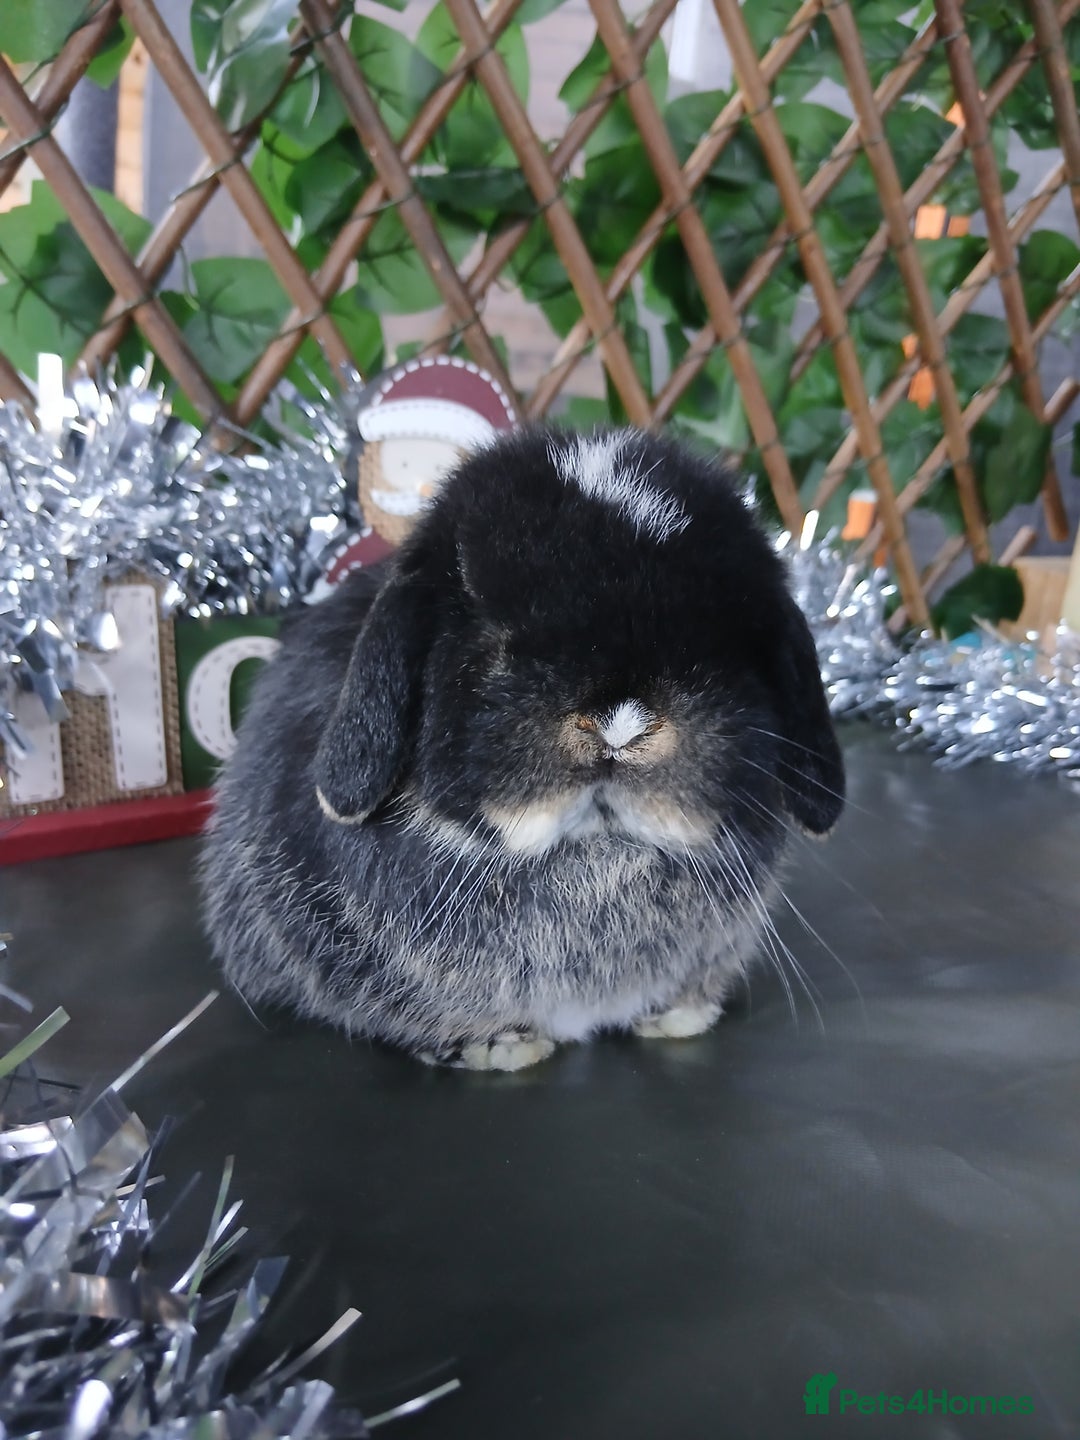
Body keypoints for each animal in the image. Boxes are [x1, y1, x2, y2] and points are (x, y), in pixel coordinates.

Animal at [201, 426, 844, 1070]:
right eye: (492, 636)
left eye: (727, 642)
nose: (619, 727)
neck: (597, 857)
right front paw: (502, 1047)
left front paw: (679, 1016)